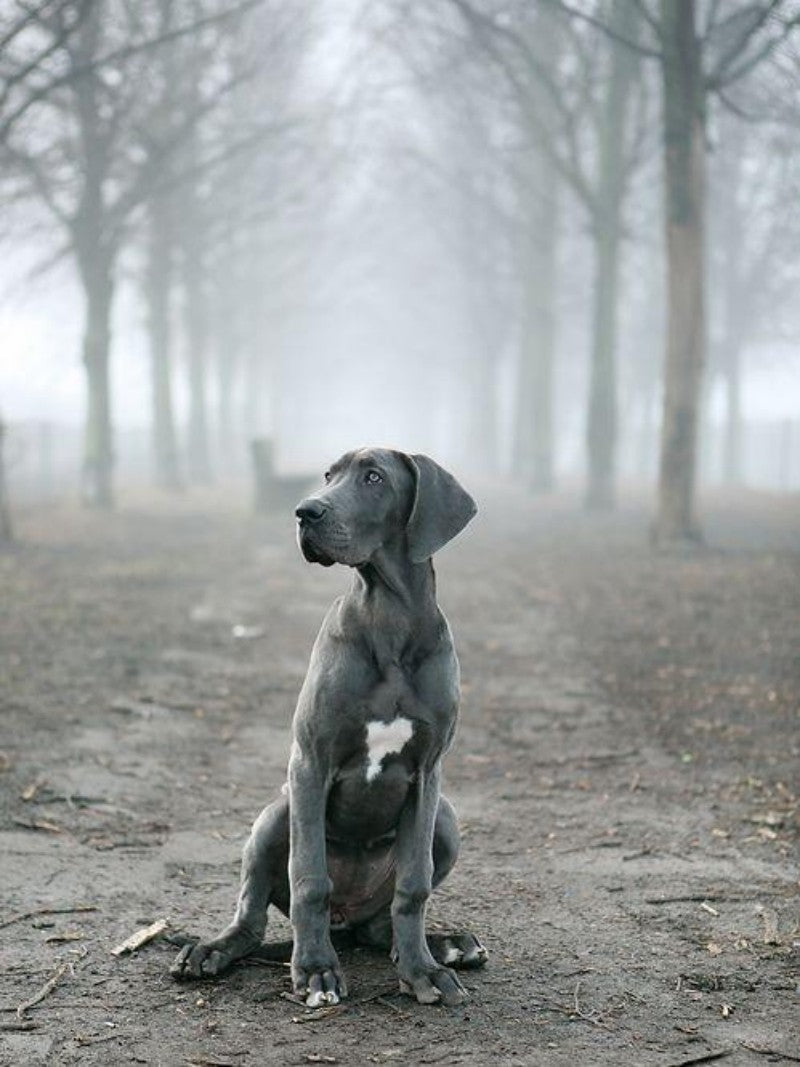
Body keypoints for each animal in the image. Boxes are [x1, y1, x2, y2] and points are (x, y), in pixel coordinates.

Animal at [173, 446, 488, 1002]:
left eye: (374, 478)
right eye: (327, 475)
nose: (305, 512)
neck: (389, 618)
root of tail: (349, 918)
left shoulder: (428, 773)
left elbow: (414, 885)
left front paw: (421, 971)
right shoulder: (310, 763)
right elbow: (310, 879)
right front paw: (316, 969)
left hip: (446, 821)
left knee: (380, 927)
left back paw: (447, 945)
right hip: (274, 815)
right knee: (253, 921)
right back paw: (211, 951)